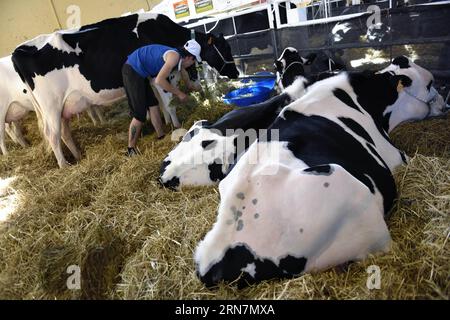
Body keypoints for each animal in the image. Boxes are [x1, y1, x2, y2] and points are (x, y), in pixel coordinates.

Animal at [11, 12, 239, 168]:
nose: (236, 72)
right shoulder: (162, 74)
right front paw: (176, 126)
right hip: (51, 105)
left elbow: (158, 103)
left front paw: (165, 124)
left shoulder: (150, 79)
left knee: (64, 133)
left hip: (62, 108)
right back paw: (64, 165)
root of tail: (18, 51)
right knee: (52, 134)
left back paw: (76, 157)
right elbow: (168, 102)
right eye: (225, 48)